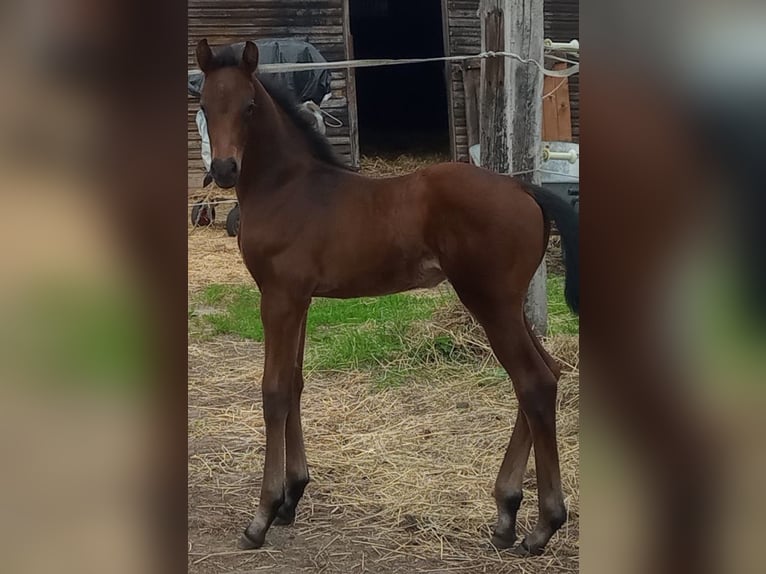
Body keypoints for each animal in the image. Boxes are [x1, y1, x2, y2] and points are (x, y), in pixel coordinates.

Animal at [198, 39, 584, 560]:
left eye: (249, 107)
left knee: (535, 383)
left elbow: (274, 390)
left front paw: (261, 515)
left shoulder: (278, 297)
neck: (288, 188)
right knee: (550, 373)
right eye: (203, 105)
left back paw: (543, 525)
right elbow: (295, 383)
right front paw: (292, 497)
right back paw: (506, 513)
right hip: (508, 304)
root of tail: (523, 186)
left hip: (490, 303)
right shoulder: (300, 300)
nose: (223, 170)